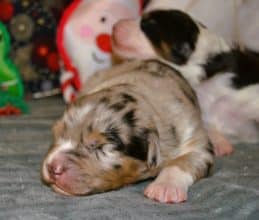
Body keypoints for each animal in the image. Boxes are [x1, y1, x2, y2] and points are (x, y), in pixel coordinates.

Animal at [41, 59, 214, 204]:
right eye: (56, 134)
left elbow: (182, 161)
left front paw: (165, 188)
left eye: (100, 147)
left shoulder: (196, 139)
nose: (52, 167)